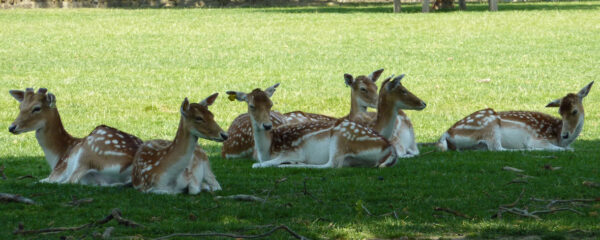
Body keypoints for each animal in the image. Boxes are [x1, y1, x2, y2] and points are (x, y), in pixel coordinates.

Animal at [8, 88, 142, 186]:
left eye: (37, 108)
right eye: (20, 107)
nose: (12, 127)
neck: (57, 155)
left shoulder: (58, 171)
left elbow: (42, 180)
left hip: (87, 154)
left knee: (70, 181)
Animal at [226, 74, 426, 169]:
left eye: (270, 103)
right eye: (251, 105)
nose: (423, 103)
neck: (267, 149)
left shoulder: (291, 151)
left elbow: (261, 164)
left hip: (339, 139)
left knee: (331, 165)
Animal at [438, 81, 592, 151]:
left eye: (574, 111)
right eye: (560, 112)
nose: (565, 134)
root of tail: (446, 133)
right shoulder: (538, 138)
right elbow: (566, 150)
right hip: (489, 125)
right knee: (497, 148)